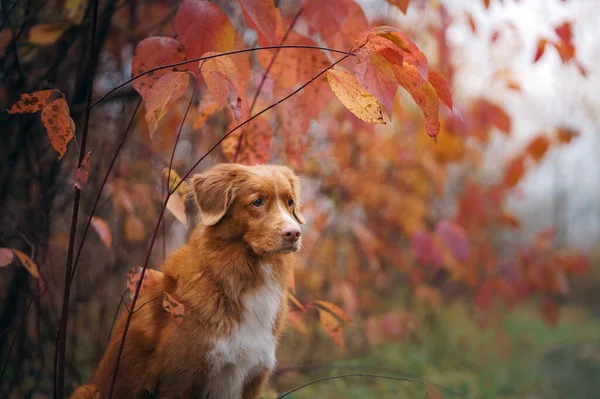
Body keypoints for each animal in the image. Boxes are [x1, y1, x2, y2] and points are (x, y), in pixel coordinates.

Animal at [71, 164, 304, 398]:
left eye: (290, 202)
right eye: (257, 201)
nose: (294, 233)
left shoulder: (251, 379)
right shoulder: (179, 379)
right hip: (86, 390)